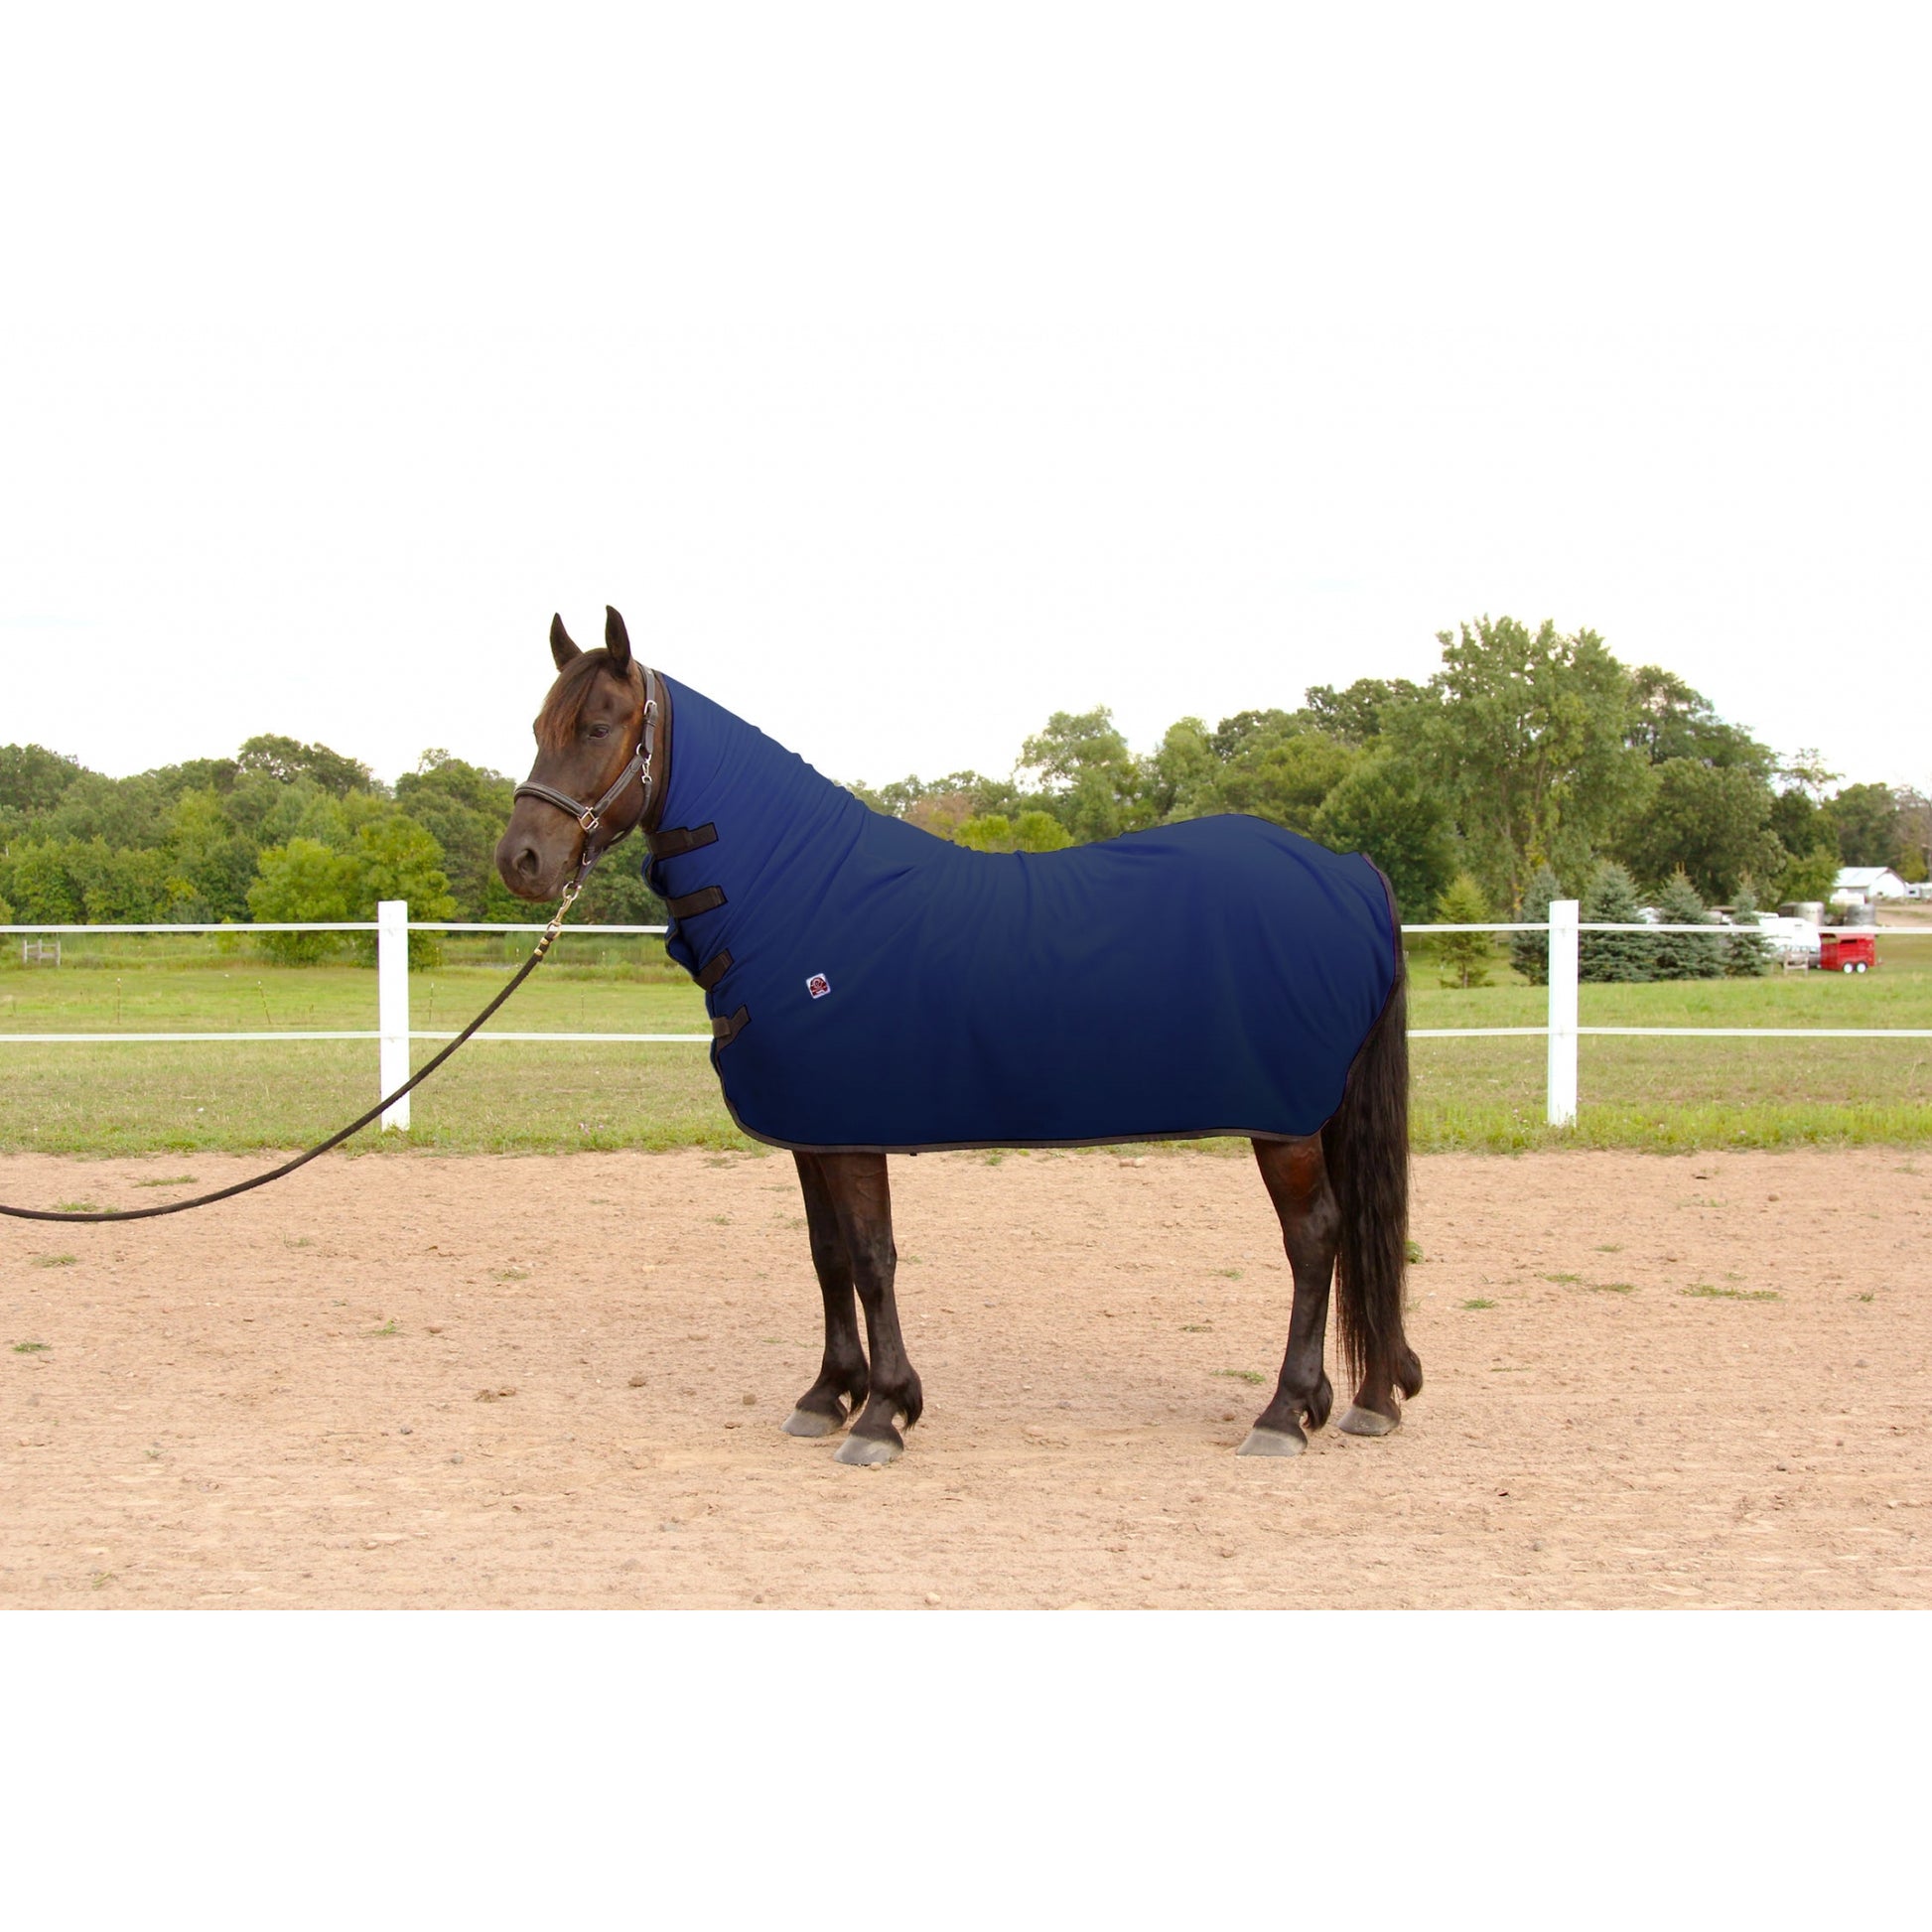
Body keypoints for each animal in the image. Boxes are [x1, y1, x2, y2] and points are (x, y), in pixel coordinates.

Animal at [495, 606, 1421, 1466]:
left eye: (598, 727)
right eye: (539, 729)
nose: (522, 861)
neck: (800, 893)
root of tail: (1347, 870)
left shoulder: (853, 1130)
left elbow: (873, 1257)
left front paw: (883, 1413)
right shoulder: (811, 1131)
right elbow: (827, 1255)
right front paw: (828, 1394)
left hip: (1287, 1122)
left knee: (1315, 1238)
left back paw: (1284, 1412)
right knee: (1357, 1232)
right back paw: (1367, 1398)